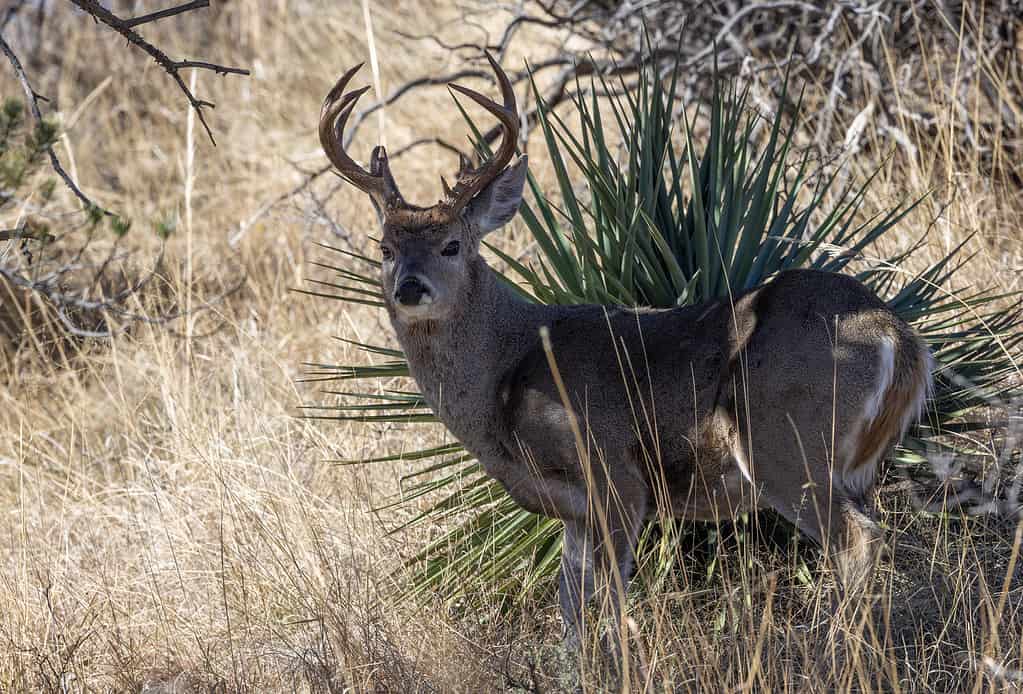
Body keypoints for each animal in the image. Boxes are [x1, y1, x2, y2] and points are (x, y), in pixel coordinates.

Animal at [319, 54, 933, 647]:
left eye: (451, 244)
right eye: (385, 248)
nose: (409, 287)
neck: (505, 372)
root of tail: (896, 335)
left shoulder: (615, 474)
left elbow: (609, 598)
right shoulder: (572, 511)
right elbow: (569, 607)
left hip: (784, 439)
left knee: (857, 541)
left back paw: (838, 648)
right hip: (856, 465)